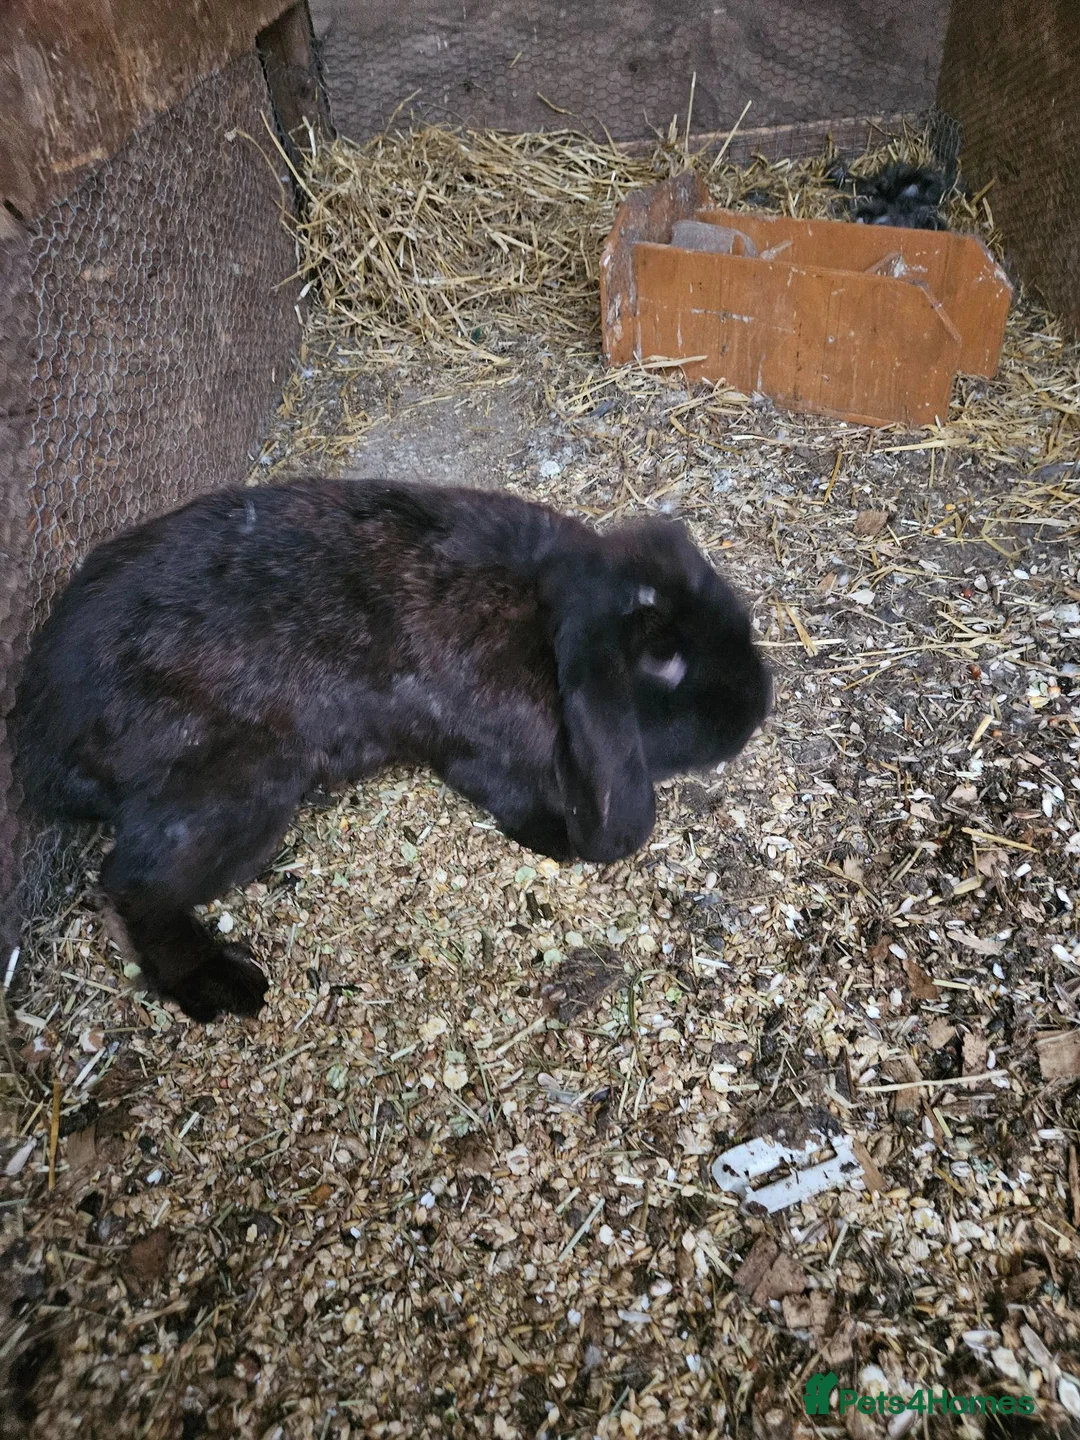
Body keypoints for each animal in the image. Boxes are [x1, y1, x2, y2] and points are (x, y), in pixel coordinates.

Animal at [14, 477, 770, 1023]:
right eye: (665, 661)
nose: (758, 705)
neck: (547, 625)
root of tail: (37, 741)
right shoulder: (481, 754)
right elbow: (519, 804)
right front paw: (559, 840)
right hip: (242, 790)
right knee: (132, 886)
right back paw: (223, 987)